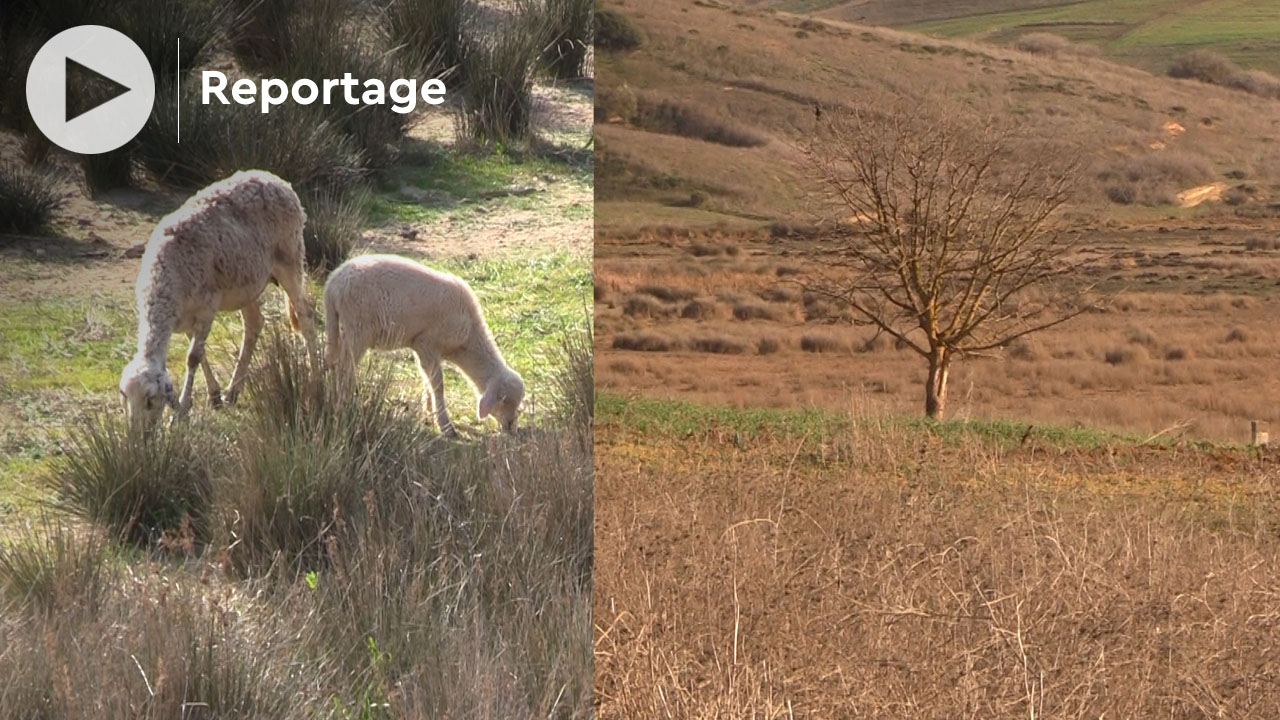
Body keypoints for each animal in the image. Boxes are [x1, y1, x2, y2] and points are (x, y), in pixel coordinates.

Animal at [119, 167, 317, 425]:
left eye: (151, 400)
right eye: (126, 400)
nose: (138, 435)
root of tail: (274, 178)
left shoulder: (207, 306)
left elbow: (193, 357)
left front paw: (180, 411)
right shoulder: (187, 317)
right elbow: (199, 353)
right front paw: (212, 396)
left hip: (290, 259)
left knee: (305, 316)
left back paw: (316, 374)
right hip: (247, 283)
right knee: (254, 323)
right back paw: (233, 391)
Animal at [325, 252, 524, 430]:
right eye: (503, 400)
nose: (510, 427)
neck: (468, 339)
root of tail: (333, 283)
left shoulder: (419, 346)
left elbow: (426, 378)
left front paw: (428, 413)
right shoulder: (427, 342)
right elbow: (438, 383)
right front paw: (445, 424)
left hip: (339, 326)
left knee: (334, 362)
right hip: (357, 329)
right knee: (344, 368)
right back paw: (345, 405)